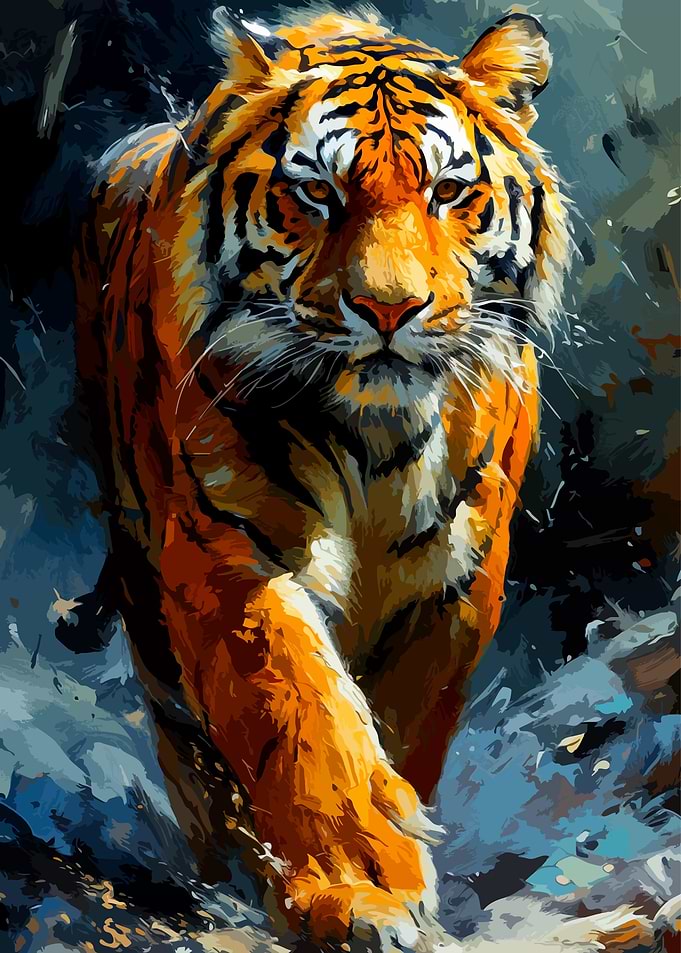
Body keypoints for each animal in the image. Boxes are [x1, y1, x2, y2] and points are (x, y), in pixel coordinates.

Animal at [74, 8, 570, 951]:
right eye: (316, 193)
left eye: (447, 192)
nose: (387, 309)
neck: (377, 442)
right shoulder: (226, 549)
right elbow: (301, 710)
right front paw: (361, 888)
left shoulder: (457, 582)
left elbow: (408, 725)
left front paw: (397, 837)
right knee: (187, 743)